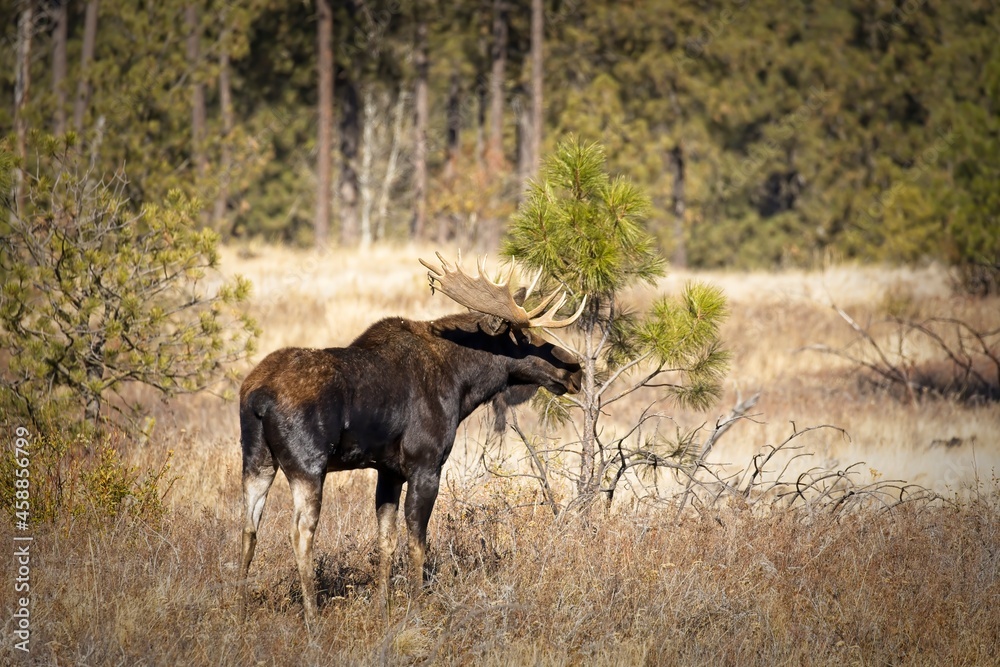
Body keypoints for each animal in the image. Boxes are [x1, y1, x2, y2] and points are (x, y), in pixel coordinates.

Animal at [238, 253, 584, 624]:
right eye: (523, 337)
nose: (575, 369)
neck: (463, 386)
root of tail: (258, 397)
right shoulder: (426, 463)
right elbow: (417, 540)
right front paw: (417, 605)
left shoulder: (388, 471)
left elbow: (386, 539)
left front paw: (384, 605)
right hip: (308, 465)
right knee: (300, 533)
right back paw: (312, 615)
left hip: (257, 460)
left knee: (248, 526)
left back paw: (236, 605)